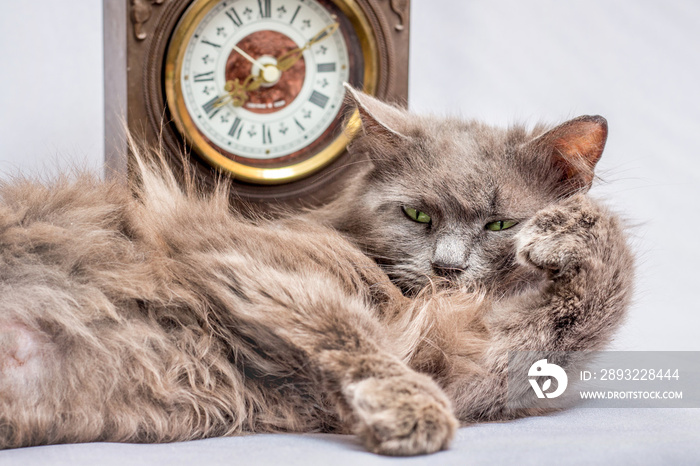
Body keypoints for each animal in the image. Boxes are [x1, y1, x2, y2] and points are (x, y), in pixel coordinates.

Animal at [0, 88, 636, 456]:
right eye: (417, 215)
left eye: (500, 224)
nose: (447, 267)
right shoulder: (254, 261)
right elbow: (352, 334)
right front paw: (414, 412)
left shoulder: (475, 361)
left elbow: (593, 305)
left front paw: (569, 228)